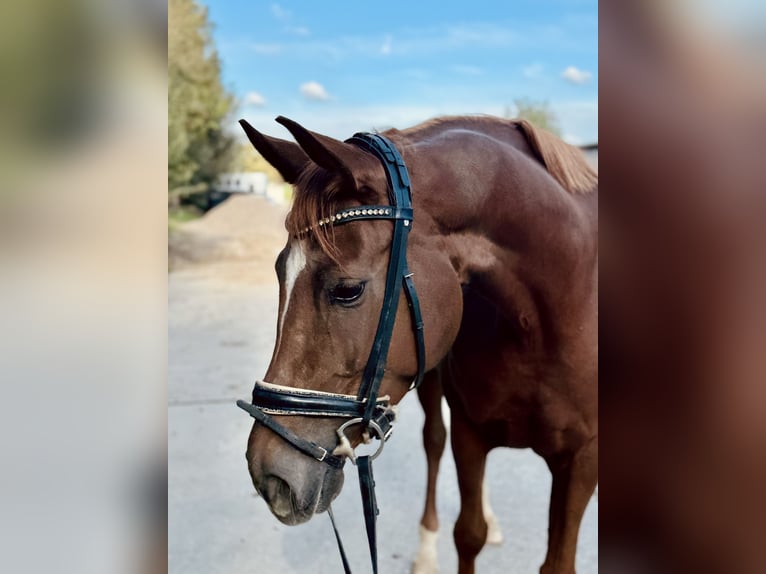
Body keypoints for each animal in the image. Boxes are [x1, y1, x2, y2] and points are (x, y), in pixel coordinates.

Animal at [237, 114, 598, 574]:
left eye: (348, 290)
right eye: (280, 273)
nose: (271, 477)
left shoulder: (583, 461)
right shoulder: (469, 433)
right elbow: (469, 533)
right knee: (433, 441)